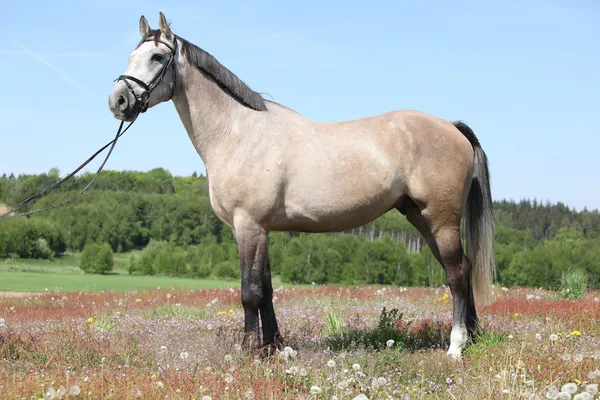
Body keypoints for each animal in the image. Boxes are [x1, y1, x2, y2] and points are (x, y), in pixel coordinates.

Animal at [109, 12, 496, 358]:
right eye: (130, 56)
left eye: (157, 57)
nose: (118, 101)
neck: (238, 133)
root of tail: (451, 126)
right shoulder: (261, 228)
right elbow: (266, 290)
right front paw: (276, 347)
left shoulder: (248, 225)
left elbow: (249, 291)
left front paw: (250, 352)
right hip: (419, 216)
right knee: (462, 267)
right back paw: (472, 337)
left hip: (441, 219)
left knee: (457, 274)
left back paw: (456, 346)